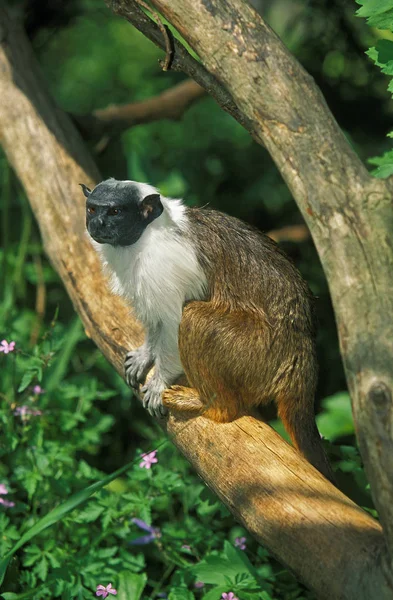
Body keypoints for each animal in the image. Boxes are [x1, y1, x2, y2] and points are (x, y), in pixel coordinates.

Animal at [82, 178, 334, 482]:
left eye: (115, 212)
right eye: (93, 209)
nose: (97, 224)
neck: (145, 236)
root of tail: (300, 349)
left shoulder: (163, 268)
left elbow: (173, 321)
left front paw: (159, 381)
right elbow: (156, 321)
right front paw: (146, 354)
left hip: (260, 353)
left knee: (195, 319)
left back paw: (213, 406)